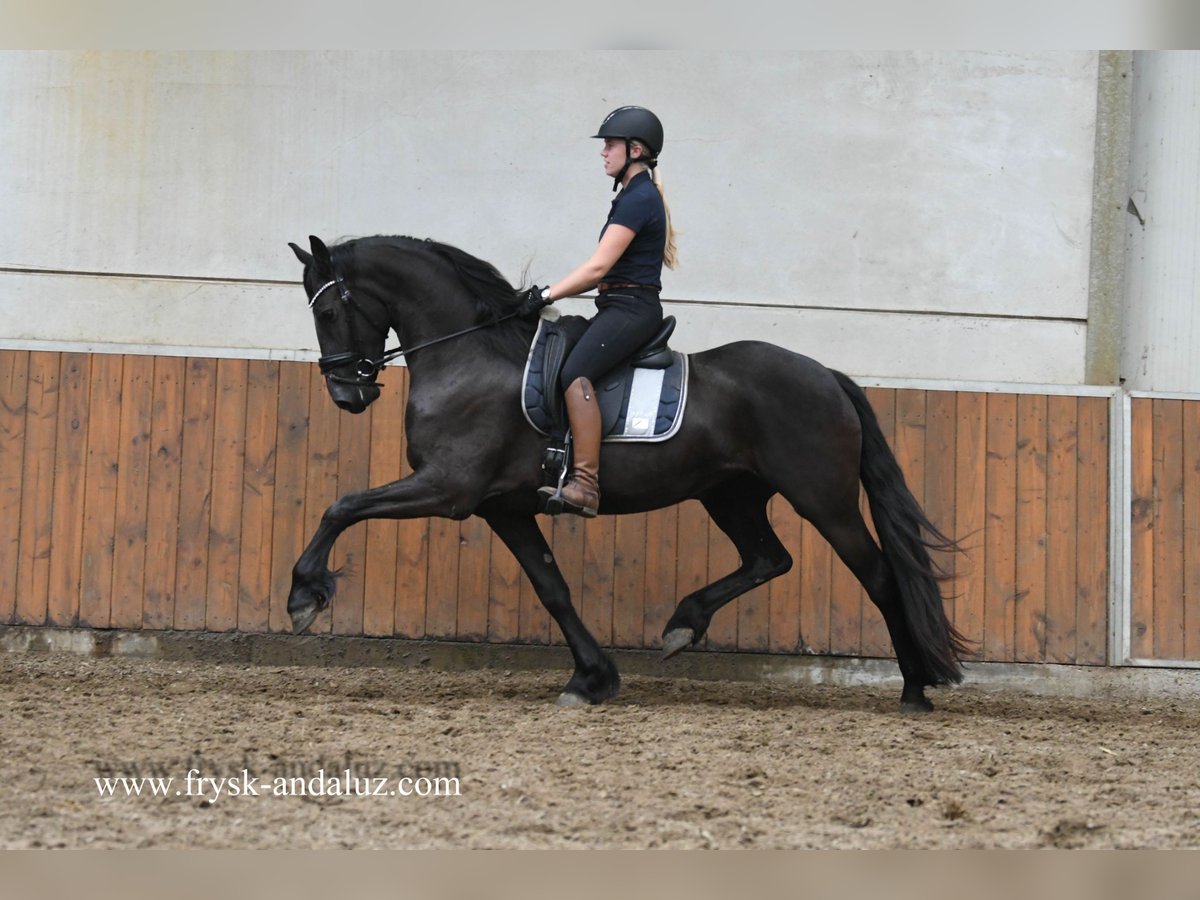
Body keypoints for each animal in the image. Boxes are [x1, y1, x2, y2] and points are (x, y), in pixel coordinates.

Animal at [285, 236, 969, 715]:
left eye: (330, 312)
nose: (346, 394)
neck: (467, 355)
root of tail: (828, 375)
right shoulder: (503, 507)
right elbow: (552, 588)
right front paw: (592, 679)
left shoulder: (449, 488)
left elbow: (342, 505)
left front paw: (304, 597)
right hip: (730, 495)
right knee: (768, 559)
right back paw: (684, 623)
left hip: (823, 499)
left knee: (879, 576)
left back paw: (914, 690)